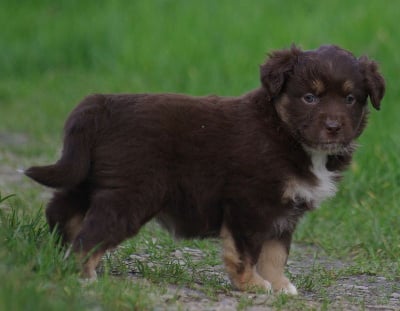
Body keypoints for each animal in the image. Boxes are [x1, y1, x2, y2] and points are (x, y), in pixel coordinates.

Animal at [25, 44, 384, 294]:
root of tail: (103, 104)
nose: (334, 127)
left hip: (89, 177)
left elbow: (275, 252)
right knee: (92, 233)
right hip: (131, 194)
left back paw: (57, 254)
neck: (284, 132)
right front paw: (253, 285)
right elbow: (247, 251)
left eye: (351, 99)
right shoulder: (249, 204)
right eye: (310, 97)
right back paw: (83, 275)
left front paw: (280, 286)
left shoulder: (285, 211)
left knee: (61, 210)